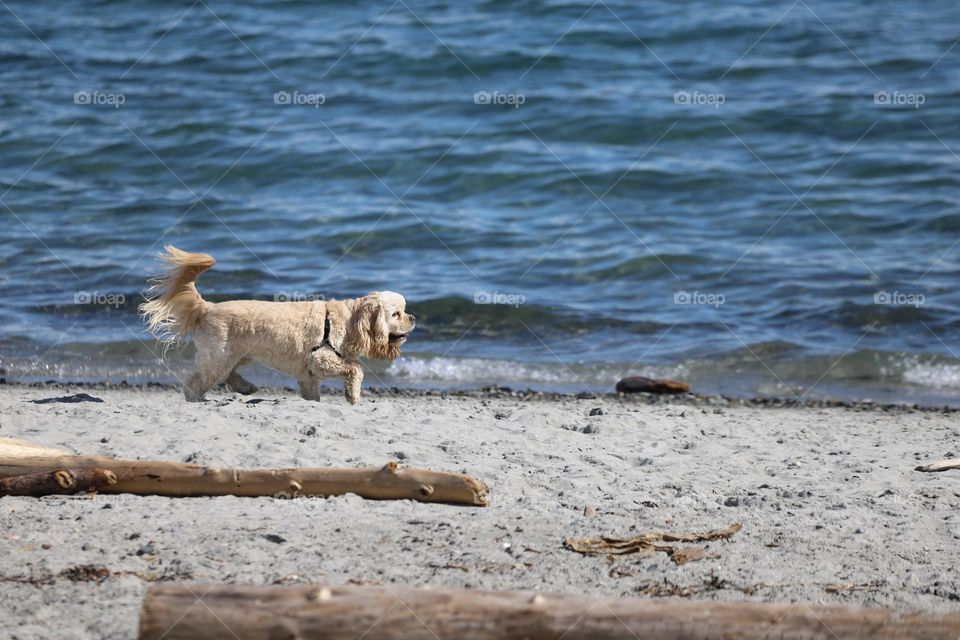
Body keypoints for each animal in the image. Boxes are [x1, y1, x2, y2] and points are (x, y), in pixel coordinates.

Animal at [138, 246, 412, 404]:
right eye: (397, 313)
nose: (414, 318)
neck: (347, 321)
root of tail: (207, 307)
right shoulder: (321, 360)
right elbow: (356, 368)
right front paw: (352, 395)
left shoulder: (308, 376)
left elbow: (314, 397)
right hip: (219, 356)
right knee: (196, 383)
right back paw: (199, 400)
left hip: (237, 355)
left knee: (227, 374)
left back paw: (246, 387)